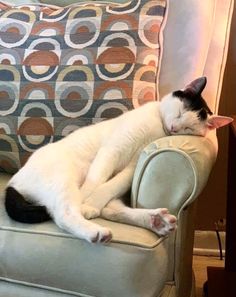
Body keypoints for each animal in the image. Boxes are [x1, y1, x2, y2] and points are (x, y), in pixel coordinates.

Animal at [4, 76, 231, 243]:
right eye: (180, 112)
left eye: (189, 128)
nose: (175, 128)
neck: (158, 127)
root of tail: (13, 182)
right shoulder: (113, 149)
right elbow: (94, 182)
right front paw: (86, 202)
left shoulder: (131, 168)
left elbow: (111, 186)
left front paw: (90, 204)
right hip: (62, 179)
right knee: (64, 214)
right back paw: (96, 231)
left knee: (110, 209)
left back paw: (155, 220)